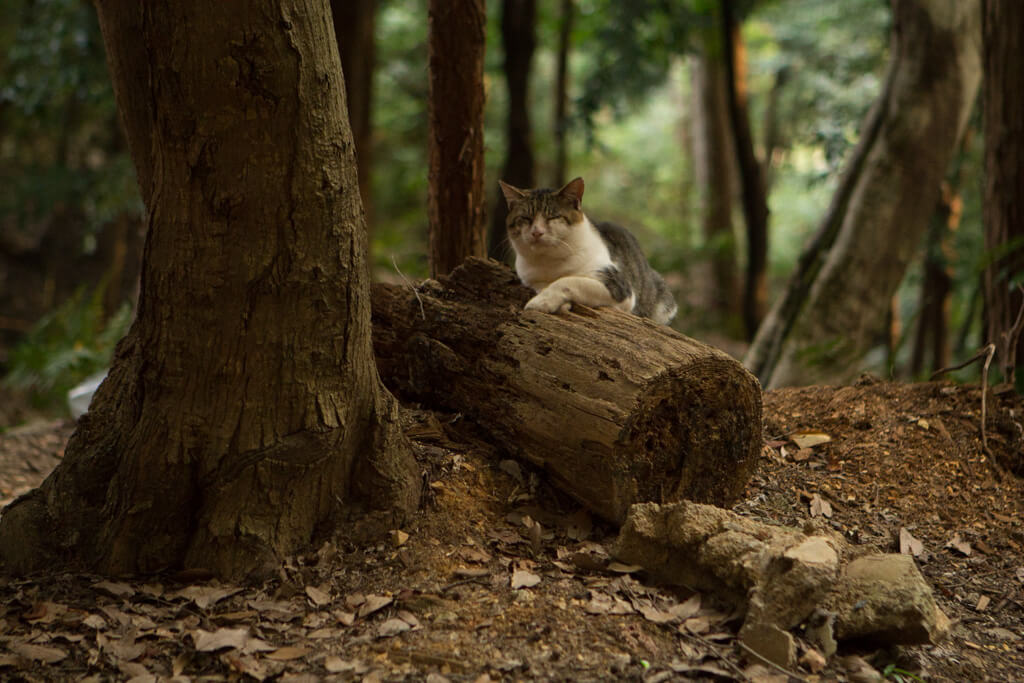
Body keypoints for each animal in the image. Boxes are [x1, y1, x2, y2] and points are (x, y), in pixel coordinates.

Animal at [497, 176, 675, 325]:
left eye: (553, 217)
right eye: (525, 218)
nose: (536, 232)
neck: (551, 261)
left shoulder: (620, 288)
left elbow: (568, 281)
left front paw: (542, 302)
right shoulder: (531, 280)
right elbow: (547, 285)